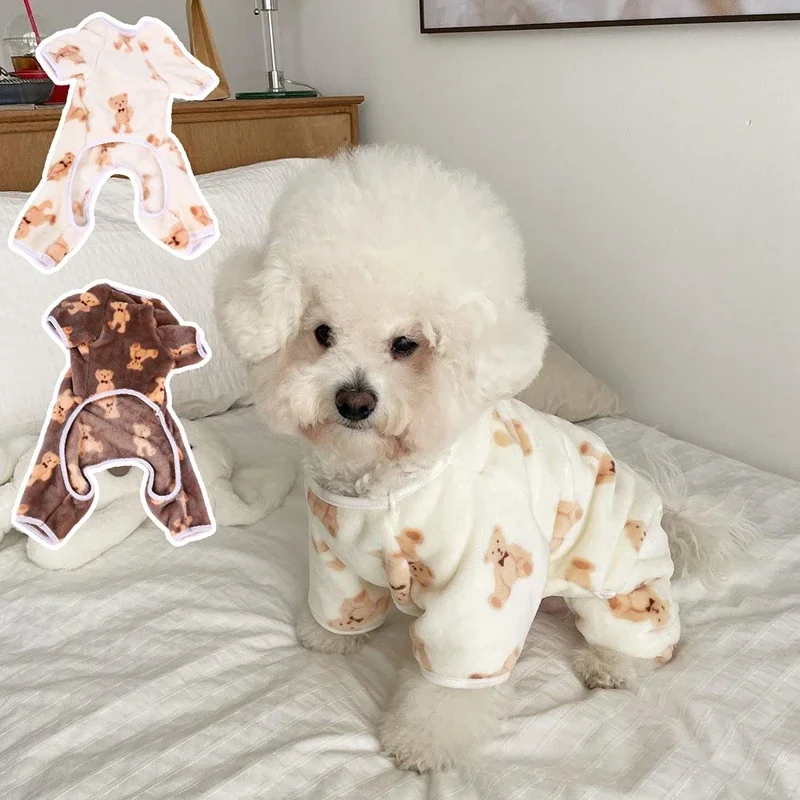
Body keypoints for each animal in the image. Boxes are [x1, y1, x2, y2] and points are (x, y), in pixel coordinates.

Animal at [218, 146, 758, 772]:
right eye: (322, 333)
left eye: (407, 344)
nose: (354, 401)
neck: (387, 486)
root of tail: (669, 512)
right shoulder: (334, 555)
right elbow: (342, 603)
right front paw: (332, 635)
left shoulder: (481, 584)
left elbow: (453, 681)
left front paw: (421, 741)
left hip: (622, 583)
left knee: (643, 637)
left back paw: (609, 665)